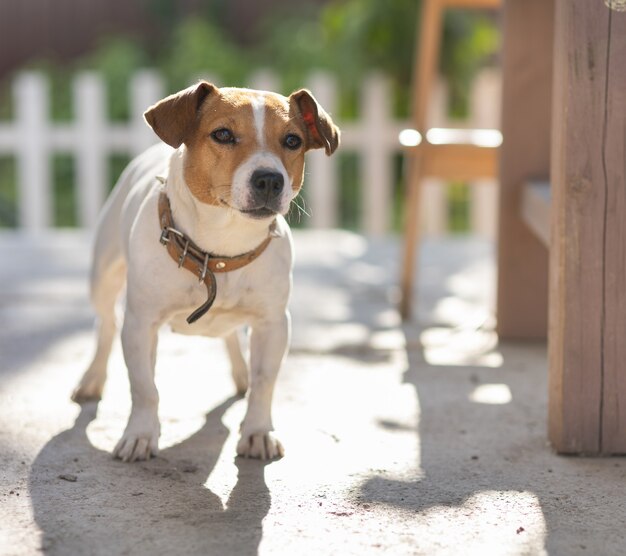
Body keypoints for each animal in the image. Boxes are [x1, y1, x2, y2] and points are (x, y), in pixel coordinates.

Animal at [70, 80, 338, 462]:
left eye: (292, 140)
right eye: (223, 134)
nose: (270, 179)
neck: (221, 249)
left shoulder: (273, 325)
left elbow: (264, 383)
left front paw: (258, 431)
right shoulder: (140, 325)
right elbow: (145, 387)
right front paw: (140, 434)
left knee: (231, 338)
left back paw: (241, 374)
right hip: (103, 279)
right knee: (105, 325)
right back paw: (92, 379)